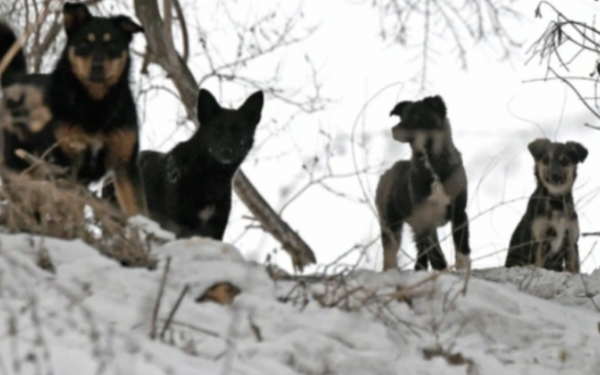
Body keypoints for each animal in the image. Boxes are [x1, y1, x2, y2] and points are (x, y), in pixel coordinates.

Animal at [0, 2, 148, 217]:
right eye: (85, 43)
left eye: (111, 43)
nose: (97, 67)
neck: (96, 105)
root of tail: (13, 81)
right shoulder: (66, 165)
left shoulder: (125, 165)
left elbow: (137, 210)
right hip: (20, 167)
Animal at [103, 88, 264, 241]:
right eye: (216, 131)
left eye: (239, 133)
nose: (227, 152)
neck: (208, 177)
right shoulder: (178, 224)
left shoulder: (215, 229)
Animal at [378, 95, 472, 272]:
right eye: (402, 117)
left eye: (416, 116)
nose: (394, 130)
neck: (429, 159)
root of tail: (386, 173)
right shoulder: (425, 218)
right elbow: (436, 253)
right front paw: (442, 272)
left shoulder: (459, 211)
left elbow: (461, 246)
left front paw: (463, 270)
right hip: (391, 223)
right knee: (390, 252)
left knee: (420, 250)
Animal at [504, 138, 588, 274]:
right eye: (545, 160)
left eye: (564, 161)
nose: (554, 175)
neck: (556, 202)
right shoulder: (540, 241)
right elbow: (540, 266)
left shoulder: (571, 241)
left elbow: (573, 269)